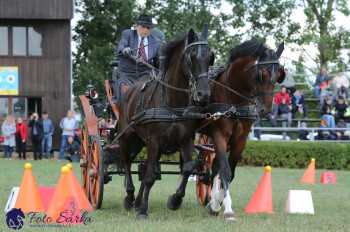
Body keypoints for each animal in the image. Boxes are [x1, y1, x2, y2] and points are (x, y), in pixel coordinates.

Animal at [113, 27, 215, 219]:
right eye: (191, 56)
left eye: (210, 57)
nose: (204, 95)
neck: (172, 103)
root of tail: (129, 91)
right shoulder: (154, 141)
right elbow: (150, 176)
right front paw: (143, 211)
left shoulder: (186, 139)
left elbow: (187, 168)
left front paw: (175, 200)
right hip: (127, 136)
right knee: (127, 161)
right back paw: (130, 198)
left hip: (143, 142)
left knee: (143, 166)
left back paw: (137, 201)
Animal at [204, 39, 286, 220]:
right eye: (261, 74)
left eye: (279, 76)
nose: (265, 110)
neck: (233, 99)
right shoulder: (219, 135)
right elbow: (225, 171)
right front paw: (227, 208)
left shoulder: (240, 140)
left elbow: (230, 171)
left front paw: (216, 203)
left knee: (214, 166)